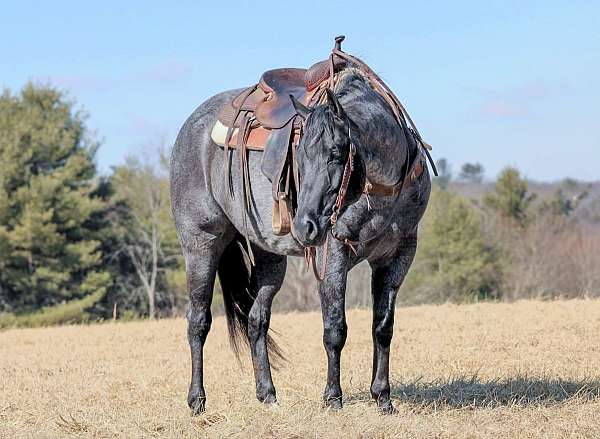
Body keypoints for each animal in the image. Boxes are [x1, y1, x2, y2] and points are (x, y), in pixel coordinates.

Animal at [169, 37, 432, 416]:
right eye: (299, 158)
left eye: (336, 155)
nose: (304, 227)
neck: (381, 187)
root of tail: (190, 129)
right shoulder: (333, 255)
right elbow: (335, 329)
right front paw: (333, 397)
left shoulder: (398, 255)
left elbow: (383, 327)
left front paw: (383, 397)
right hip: (200, 244)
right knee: (198, 320)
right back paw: (197, 400)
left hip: (269, 257)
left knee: (257, 320)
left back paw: (267, 394)